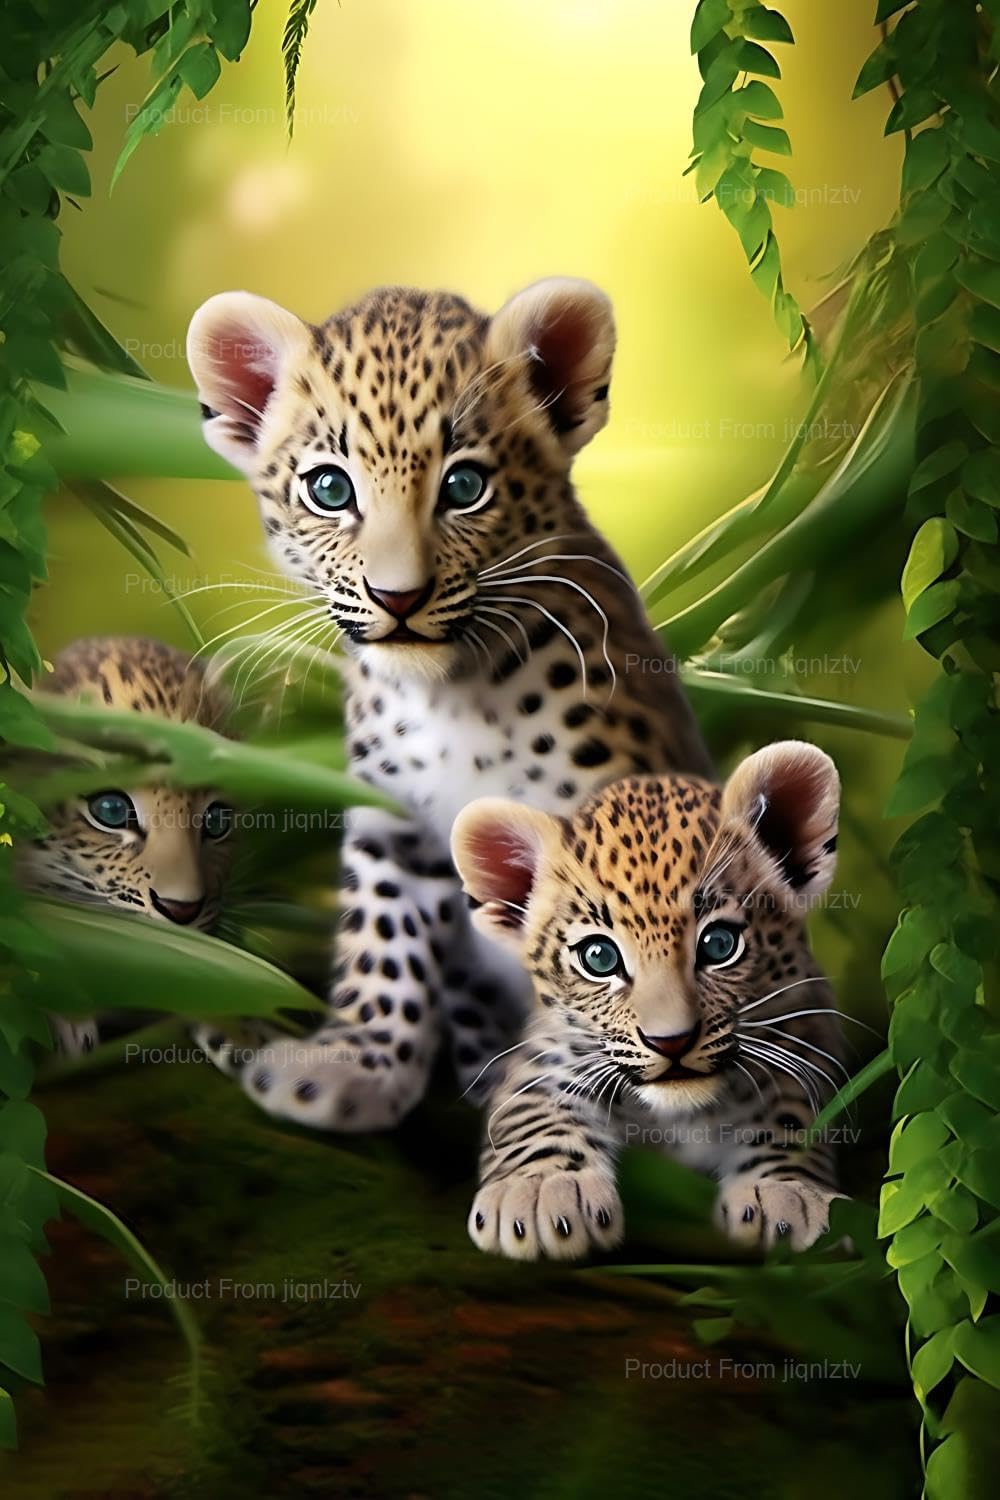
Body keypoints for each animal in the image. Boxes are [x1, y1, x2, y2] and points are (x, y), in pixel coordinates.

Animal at [186, 274, 715, 1132]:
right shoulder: (393, 821)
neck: (453, 696)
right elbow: (383, 939)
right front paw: (356, 1066)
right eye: (329, 488)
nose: (397, 597)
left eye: (464, 487)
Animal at [450, 740, 845, 1258]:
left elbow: (792, 1113)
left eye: (720, 944)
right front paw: (540, 1190)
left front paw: (785, 1191)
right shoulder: (549, 1050)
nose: (671, 1042)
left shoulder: (805, 1031)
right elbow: (532, 1108)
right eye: (599, 957)